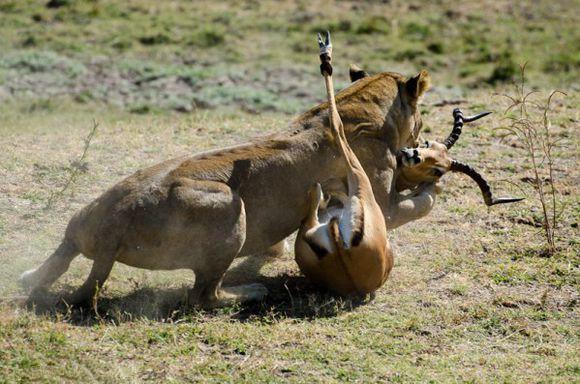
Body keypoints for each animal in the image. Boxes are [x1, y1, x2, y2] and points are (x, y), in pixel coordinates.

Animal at [19, 54, 436, 308]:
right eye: (423, 117)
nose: (421, 139)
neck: (357, 103)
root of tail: (111, 227)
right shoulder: (380, 203)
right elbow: (419, 204)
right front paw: (432, 183)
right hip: (229, 206)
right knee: (203, 295)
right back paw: (250, 291)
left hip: (84, 216)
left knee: (62, 252)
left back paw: (29, 276)